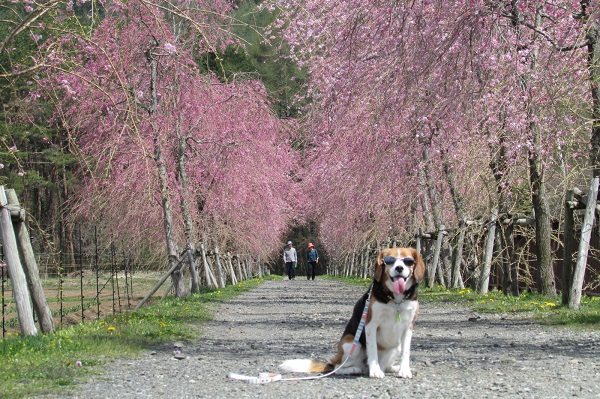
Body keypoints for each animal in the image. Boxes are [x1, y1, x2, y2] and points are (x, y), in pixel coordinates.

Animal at [278, 248, 424, 380]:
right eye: (389, 261)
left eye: (408, 261)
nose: (399, 268)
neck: (395, 300)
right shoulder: (371, 325)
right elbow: (373, 351)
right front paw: (375, 371)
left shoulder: (408, 328)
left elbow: (406, 353)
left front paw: (404, 370)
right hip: (352, 344)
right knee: (337, 368)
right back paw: (355, 369)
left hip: (396, 347)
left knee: (386, 365)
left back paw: (393, 368)